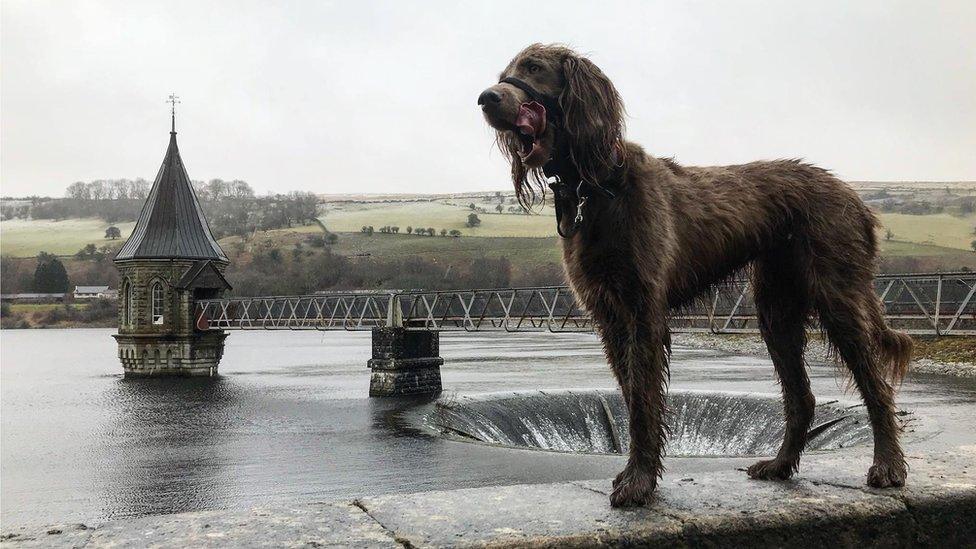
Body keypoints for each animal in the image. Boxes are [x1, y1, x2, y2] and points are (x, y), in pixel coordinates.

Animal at [476, 45, 912, 508]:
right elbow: (631, 394)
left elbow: (644, 401)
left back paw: (888, 466)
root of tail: (854, 196)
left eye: (534, 68)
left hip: (837, 296)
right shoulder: (610, 316)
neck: (597, 185)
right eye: (503, 74)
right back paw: (779, 466)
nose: (486, 98)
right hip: (776, 310)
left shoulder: (642, 311)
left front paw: (639, 482)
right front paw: (636, 474)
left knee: (875, 386)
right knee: (802, 398)